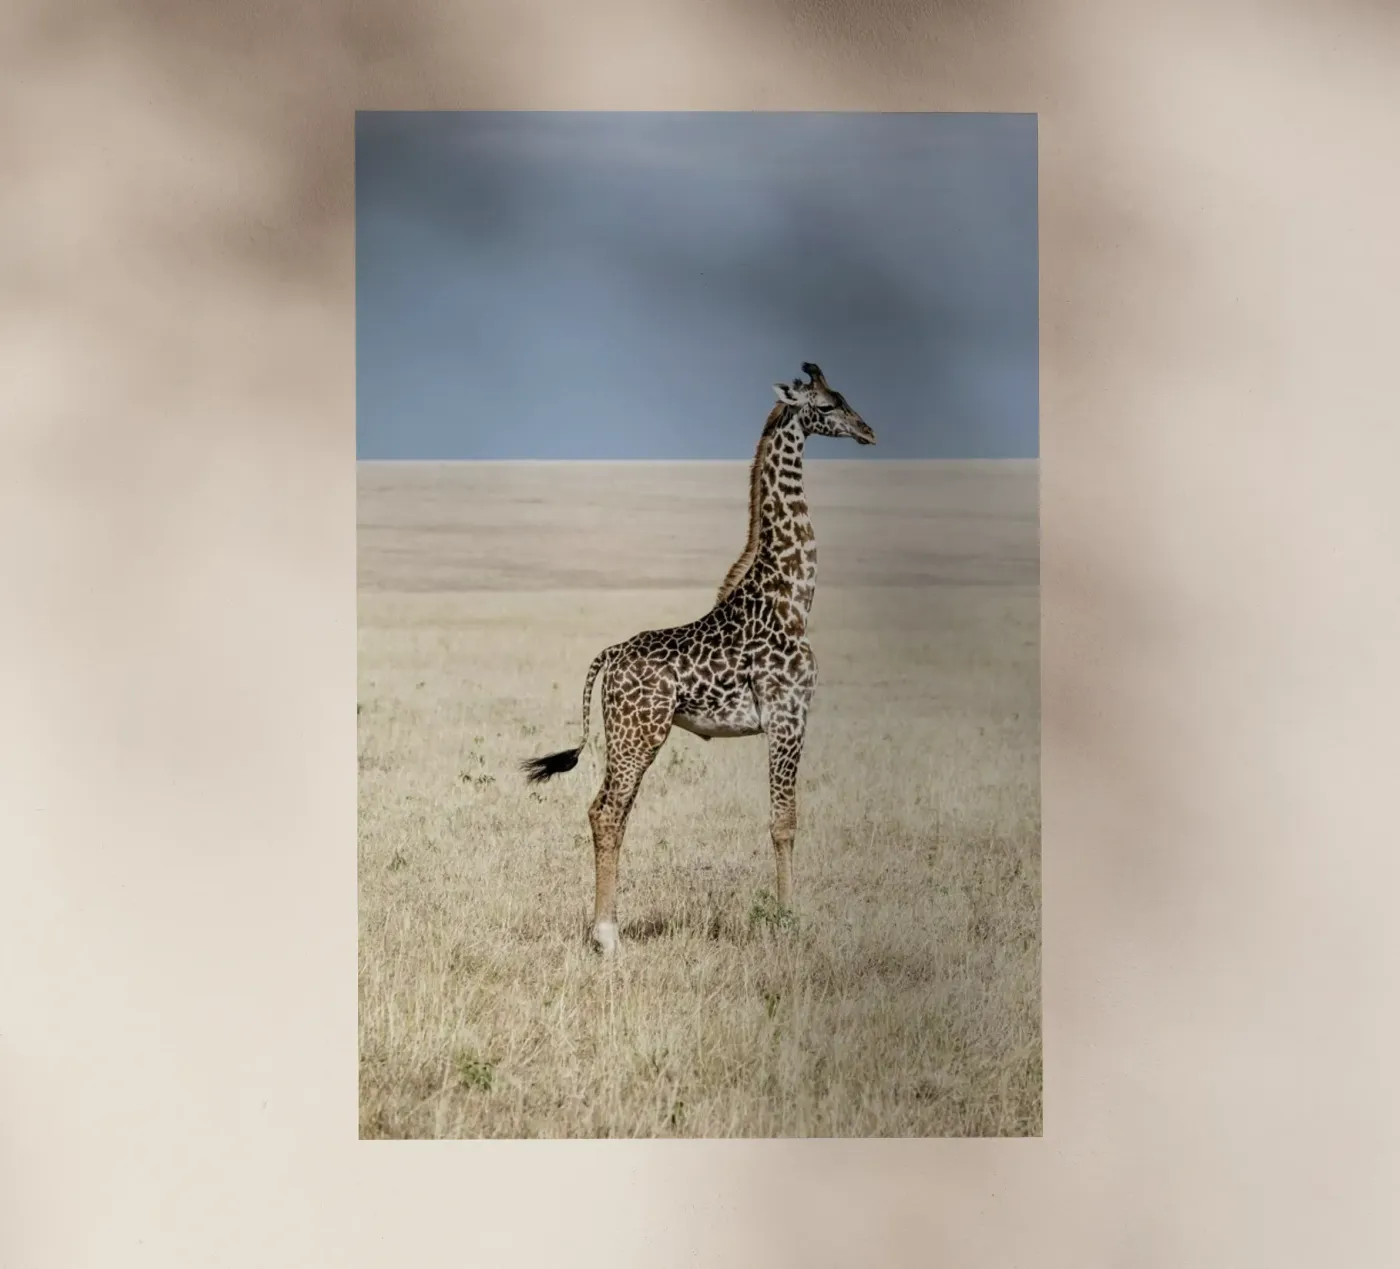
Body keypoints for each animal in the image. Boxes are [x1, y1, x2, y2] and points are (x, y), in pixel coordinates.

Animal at [521, 362, 876, 955]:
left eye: (845, 398)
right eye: (826, 406)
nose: (868, 431)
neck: (793, 598)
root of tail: (609, 656)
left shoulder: (789, 719)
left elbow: (783, 819)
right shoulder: (788, 716)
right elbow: (784, 821)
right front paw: (787, 921)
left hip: (630, 736)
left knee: (609, 811)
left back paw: (607, 929)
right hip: (638, 734)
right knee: (606, 811)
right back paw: (606, 936)